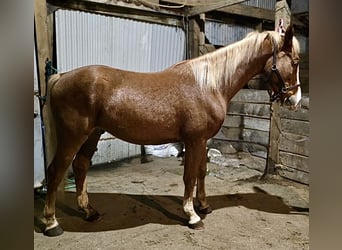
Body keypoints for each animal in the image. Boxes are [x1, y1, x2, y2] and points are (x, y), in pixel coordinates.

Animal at [42, 26, 302, 235]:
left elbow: (202, 172)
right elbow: (189, 176)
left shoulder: (202, 140)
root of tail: (61, 77)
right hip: (73, 136)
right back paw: (52, 223)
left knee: (80, 166)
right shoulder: (194, 140)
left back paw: (88, 211)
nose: (295, 99)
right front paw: (192, 216)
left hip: (92, 134)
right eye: (296, 61)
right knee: (55, 171)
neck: (208, 85)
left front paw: (203, 205)